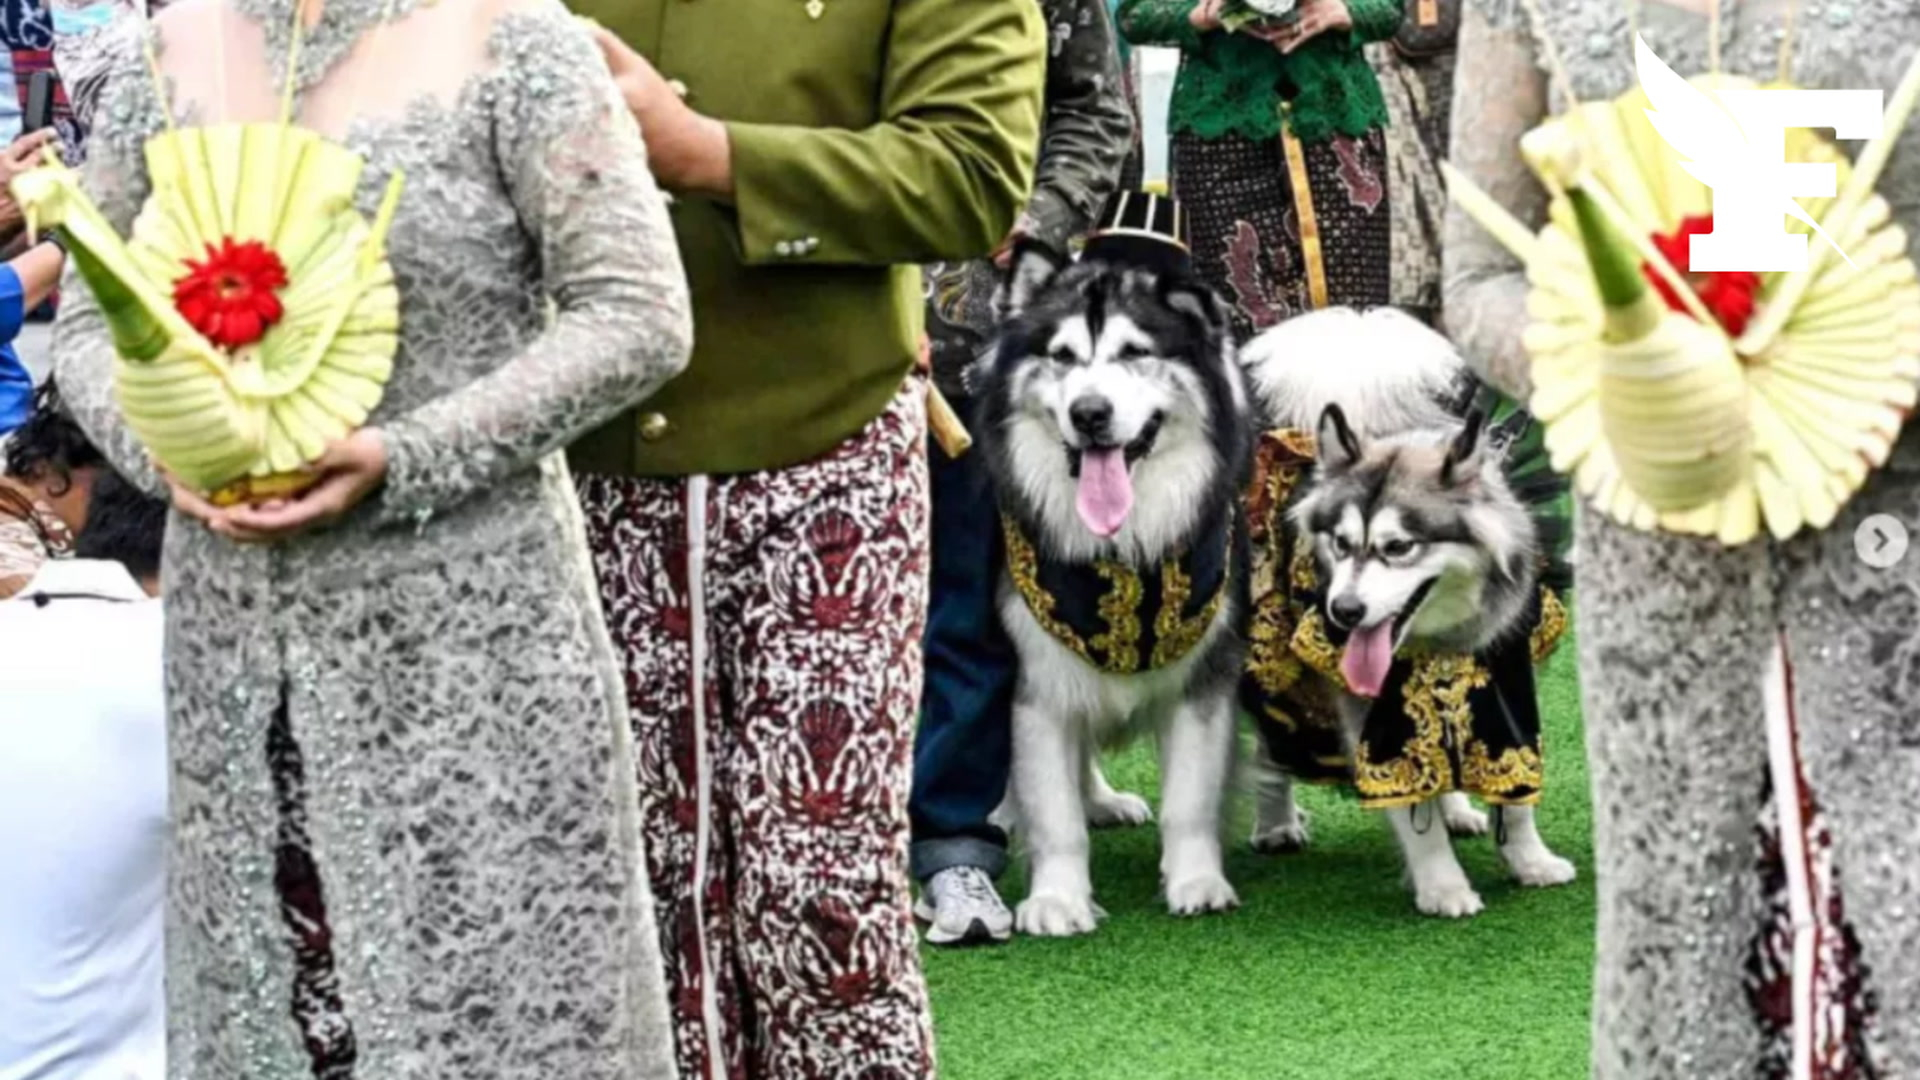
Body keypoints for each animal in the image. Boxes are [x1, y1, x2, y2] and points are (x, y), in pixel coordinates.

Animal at [975, 239, 1259, 930]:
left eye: (1135, 353)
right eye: (1063, 357)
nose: (1089, 413)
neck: (1122, 559)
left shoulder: (1204, 679)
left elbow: (1191, 800)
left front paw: (1195, 881)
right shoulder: (1035, 679)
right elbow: (1053, 812)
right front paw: (1057, 898)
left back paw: (1101, 799)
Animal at [1244, 305, 1574, 914]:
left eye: (1398, 547)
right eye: (1342, 544)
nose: (1345, 611)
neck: (1443, 643)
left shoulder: (1510, 684)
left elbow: (1517, 794)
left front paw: (1531, 861)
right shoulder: (1375, 715)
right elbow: (1412, 810)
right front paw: (1444, 887)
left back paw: (1459, 811)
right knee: (1271, 736)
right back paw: (1275, 822)